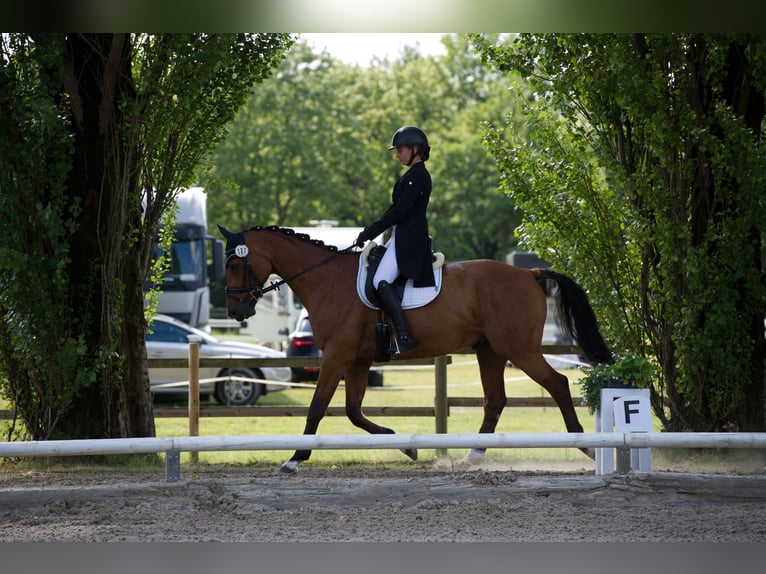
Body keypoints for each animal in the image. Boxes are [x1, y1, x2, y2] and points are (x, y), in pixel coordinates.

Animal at [219, 226, 616, 476]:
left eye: (236, 263)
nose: (235, 312)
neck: (326, 280)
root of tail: (529, 273)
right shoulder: (357, 361)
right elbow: (353, 412)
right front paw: (406, 447)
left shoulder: (336, 356)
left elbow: (318, 407)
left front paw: (295, 459)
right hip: (491, 351)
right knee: (495, 400)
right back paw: (472, 457)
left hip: (519, 349)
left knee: (557, 384)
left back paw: (585, 445)